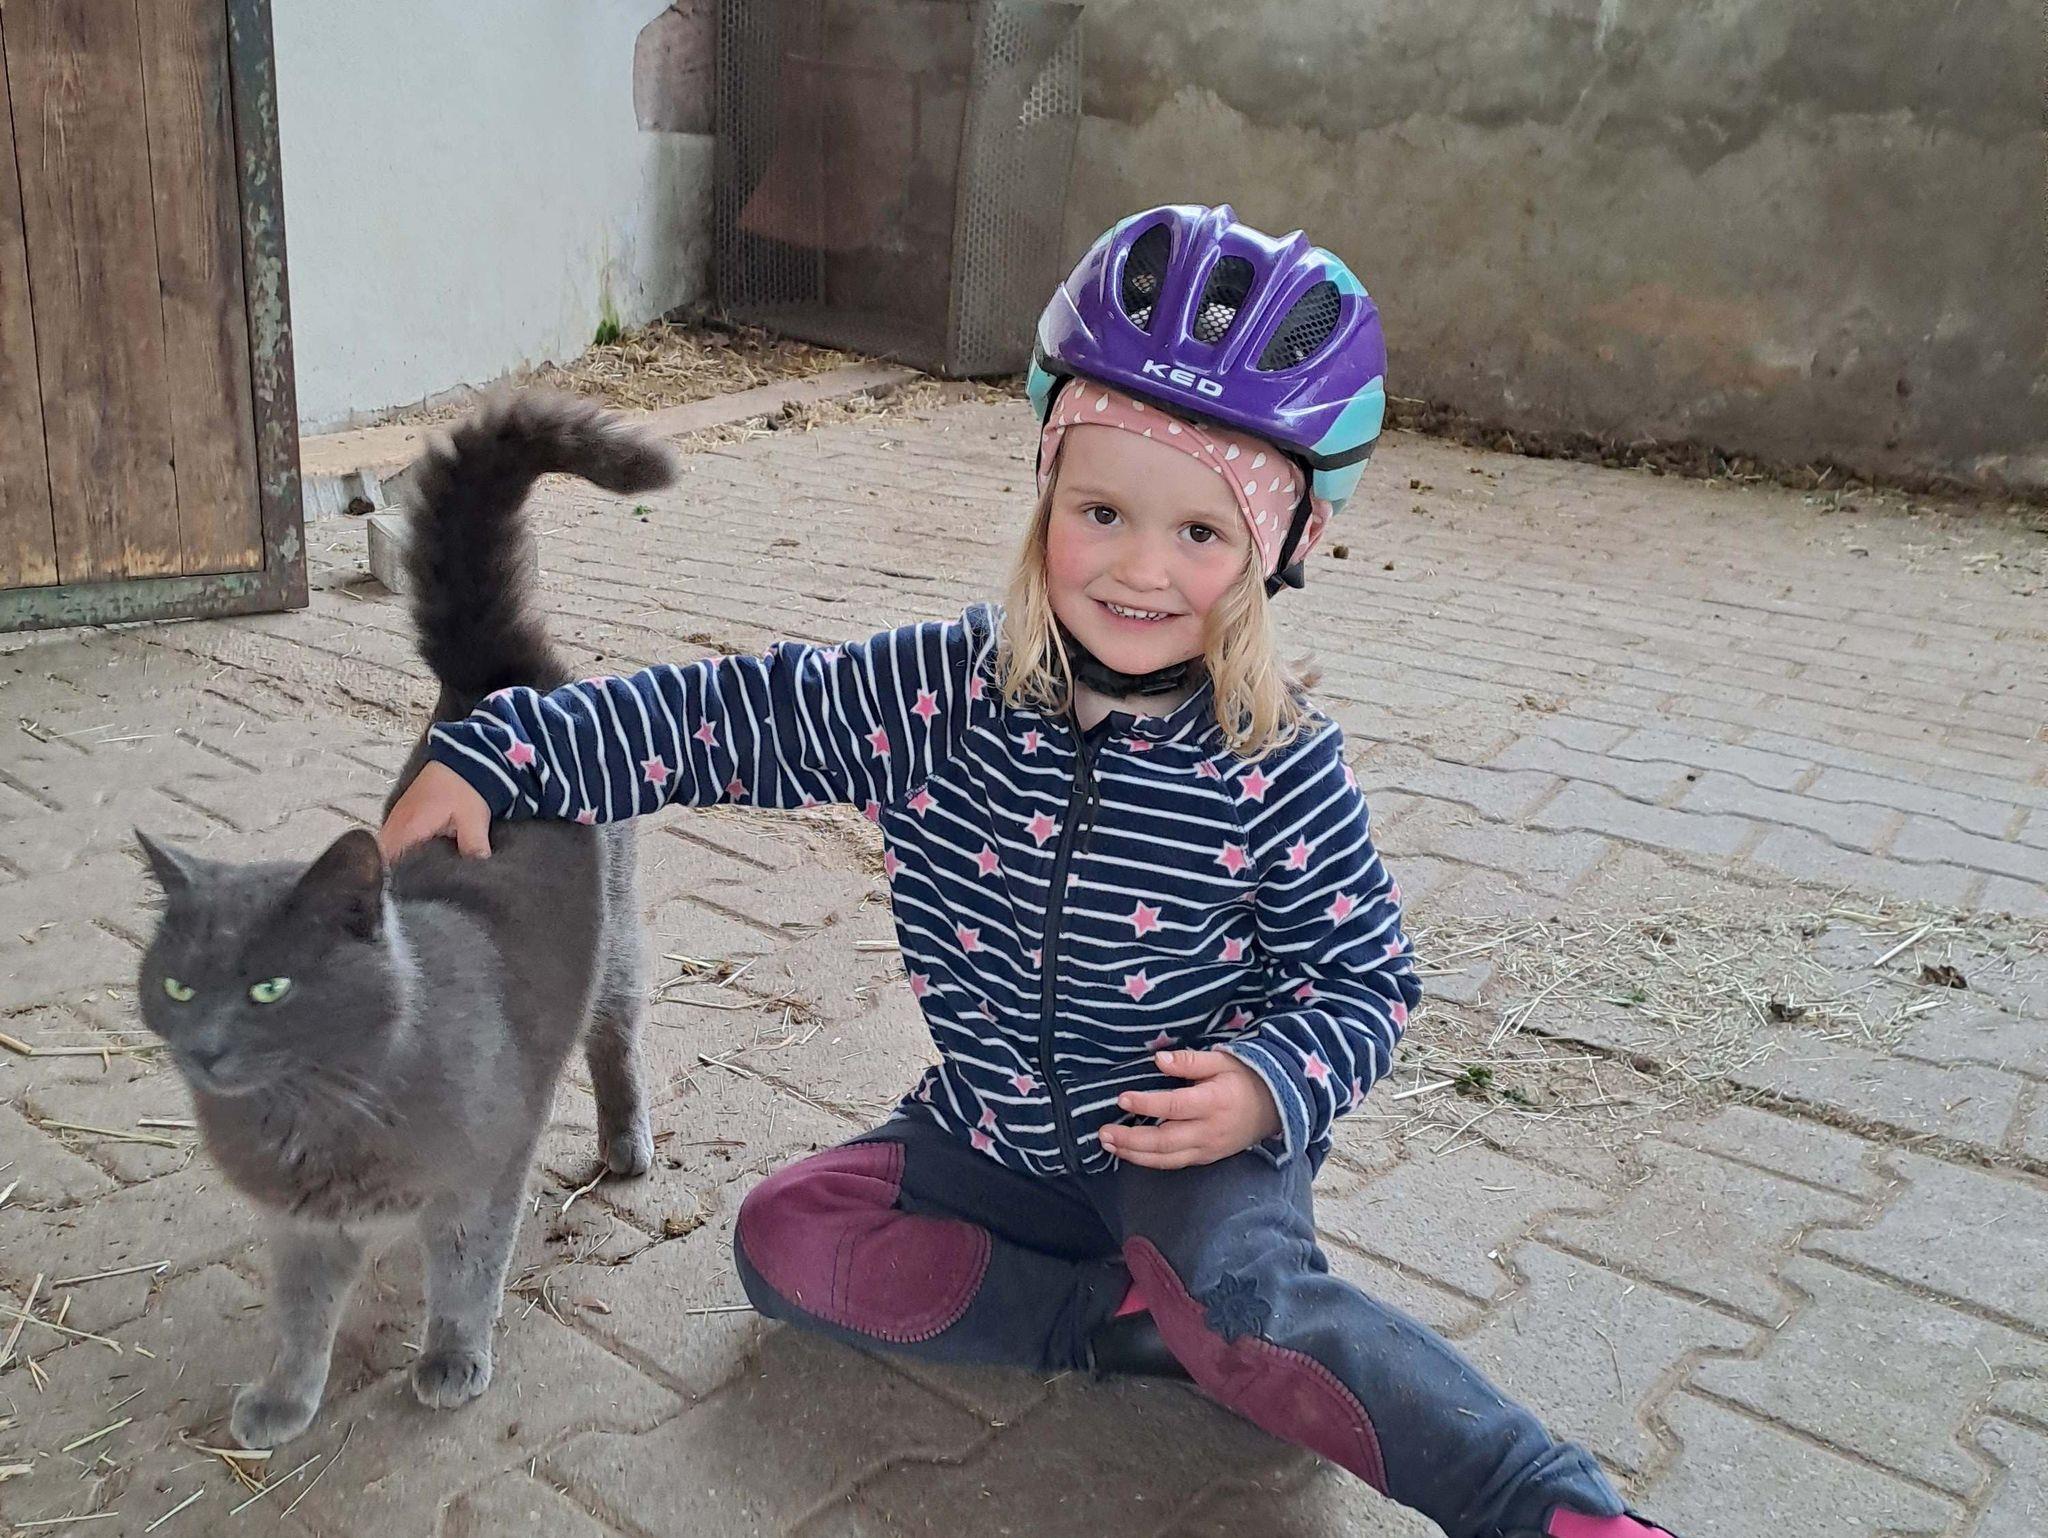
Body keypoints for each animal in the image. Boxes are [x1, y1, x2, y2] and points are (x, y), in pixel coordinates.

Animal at [135, 393, 677, 1448]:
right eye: (176, 984)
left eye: (271, 987)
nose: (205, 1048)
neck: (311, 1114)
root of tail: (502, 678)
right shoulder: (299, 1227)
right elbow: (299, 1315)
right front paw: (283, 1400)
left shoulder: (480, 1176)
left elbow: (466, 1271)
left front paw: (452, 1361)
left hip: (618, 938)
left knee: (615, 1038)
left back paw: (625, 1149)